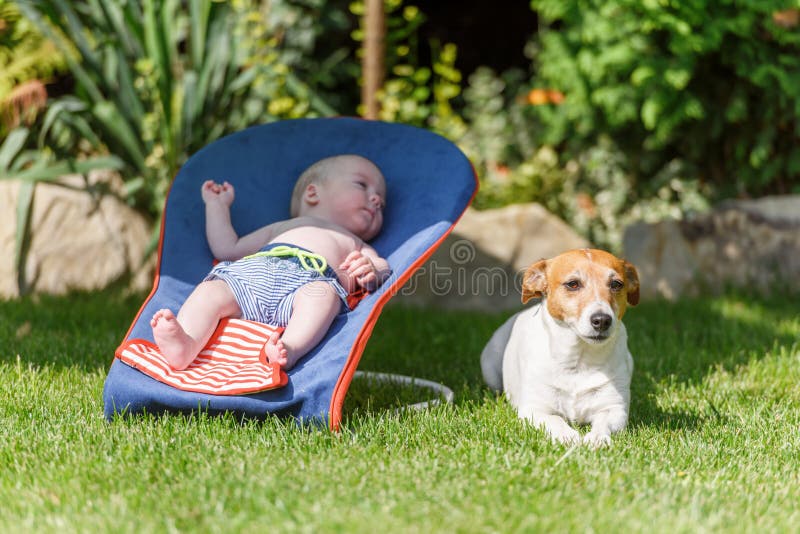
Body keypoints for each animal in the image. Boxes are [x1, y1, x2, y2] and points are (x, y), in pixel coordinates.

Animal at [478, 250, 640, 448]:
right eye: (573, 284)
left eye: (616, 284)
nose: (602, 320)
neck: (579, 360)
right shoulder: (535, 409)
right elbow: (556, 420)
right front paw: (567, 437)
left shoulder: (614, 408)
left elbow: (603, 423)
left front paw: (597, 439)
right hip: (490, 370)